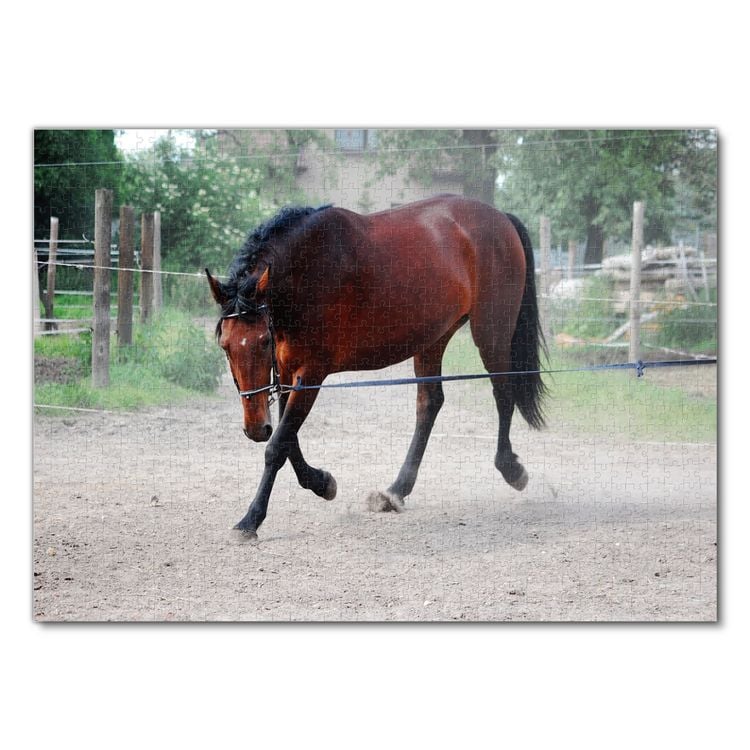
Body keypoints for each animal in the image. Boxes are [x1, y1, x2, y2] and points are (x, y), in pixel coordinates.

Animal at [206, 194, 546, 540]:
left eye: (264, 341)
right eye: (225, 345)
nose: (254, 428)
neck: (308, 270)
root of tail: (499, 217)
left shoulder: (311, 372)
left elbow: (278, 445)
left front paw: (251, 519)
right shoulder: (287, 373)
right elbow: (289, 442)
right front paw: (322, 483)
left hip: (491, 333)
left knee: (503, 393)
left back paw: (511, 469)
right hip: (433, 338)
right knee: (430, 403)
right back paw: (396, 490)